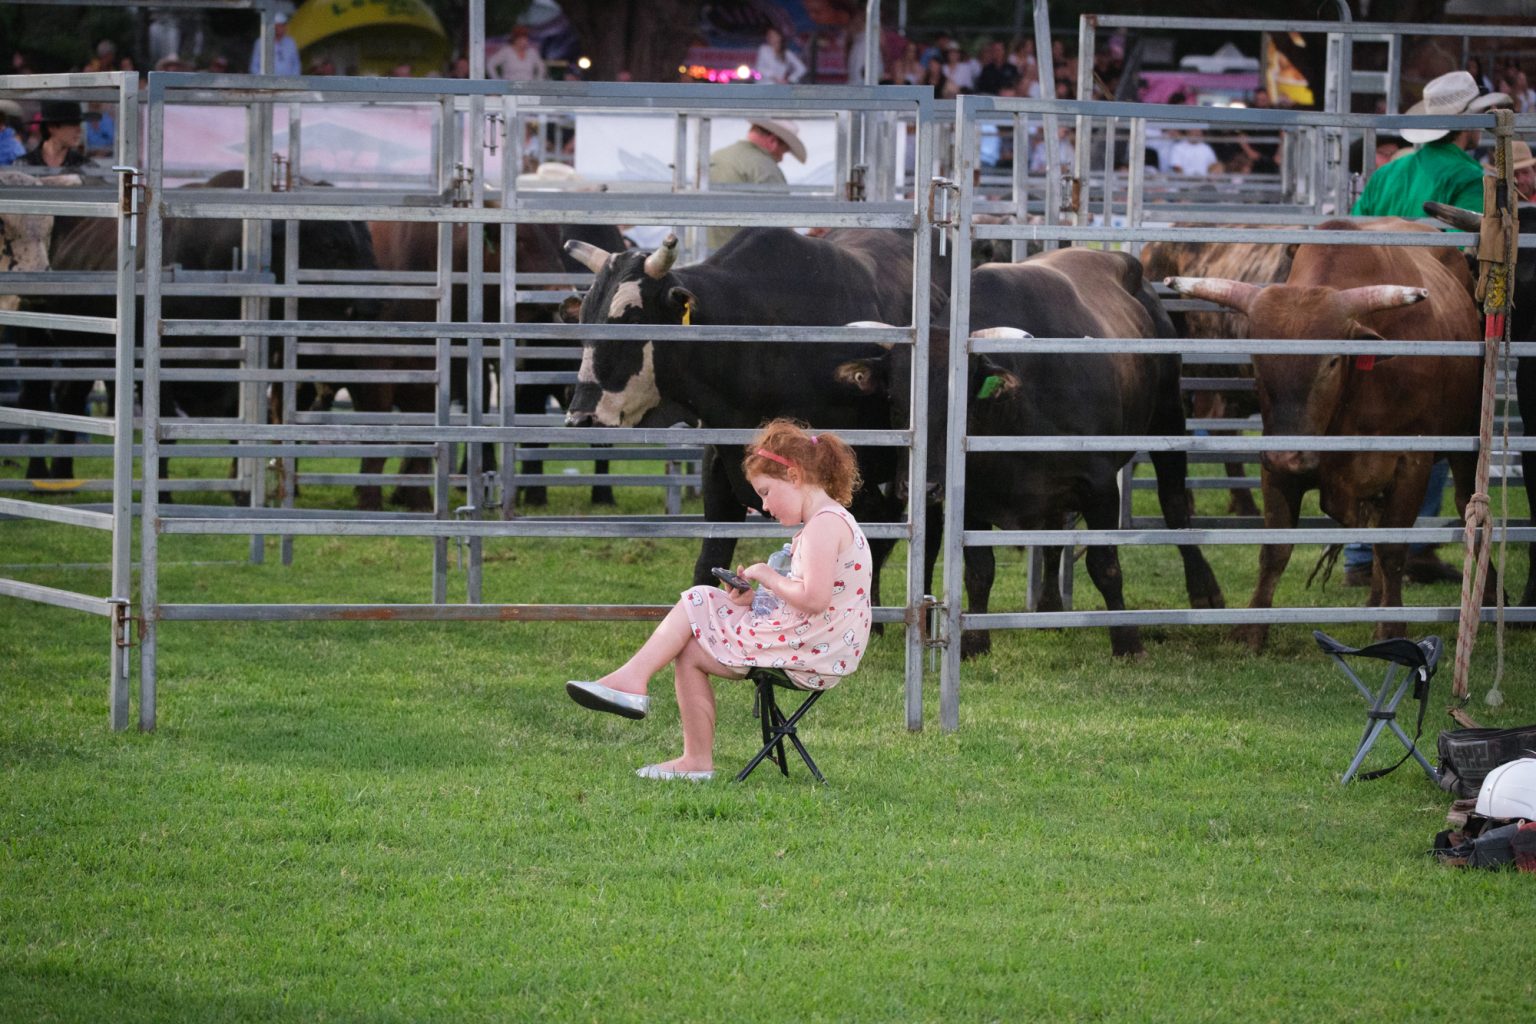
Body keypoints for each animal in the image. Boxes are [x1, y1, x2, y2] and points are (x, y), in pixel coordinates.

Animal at [840, 247, 1225, 658]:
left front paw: (1126, 640)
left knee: (1174, 502)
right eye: (894, 402)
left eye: (960, 403)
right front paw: (974, 642)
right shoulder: (972, 498)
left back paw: (1204, 591)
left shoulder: (1101, 487)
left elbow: (1105, 566)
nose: (921, 489)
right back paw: (1049, 609)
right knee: (1054, 536)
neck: (1015, 405)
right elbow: (980, 569)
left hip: (1169, 413)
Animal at [1167, 218, 1487, 651]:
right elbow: (1275, 549)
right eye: (1258, 359)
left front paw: (1392, 628)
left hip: (1465, 442)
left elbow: (1393, 549)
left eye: (1332, 360)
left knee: (1464, 507)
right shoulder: (1275, 462)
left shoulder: (1412, 462)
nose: (1289, 456)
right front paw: (1250, 630)